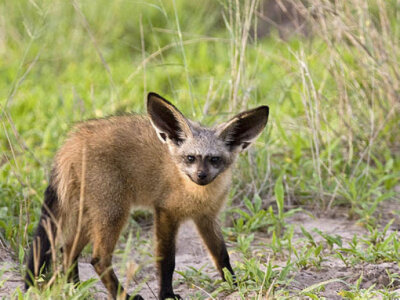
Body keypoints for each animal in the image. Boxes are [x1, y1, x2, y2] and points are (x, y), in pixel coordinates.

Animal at [25, 92, 268, 298]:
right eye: (190, 158)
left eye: (214, 159)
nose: (201, 176)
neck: (197, 195)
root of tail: (71, 142)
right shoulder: (166, 213)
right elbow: (166, 260)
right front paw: (166, 295)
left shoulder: (206, 217)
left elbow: (221, 256)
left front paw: (236, 285)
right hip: (113, 213)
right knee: (98, 259)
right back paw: (123, 295)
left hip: (91, 215)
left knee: (67, 250)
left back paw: (76, 289)